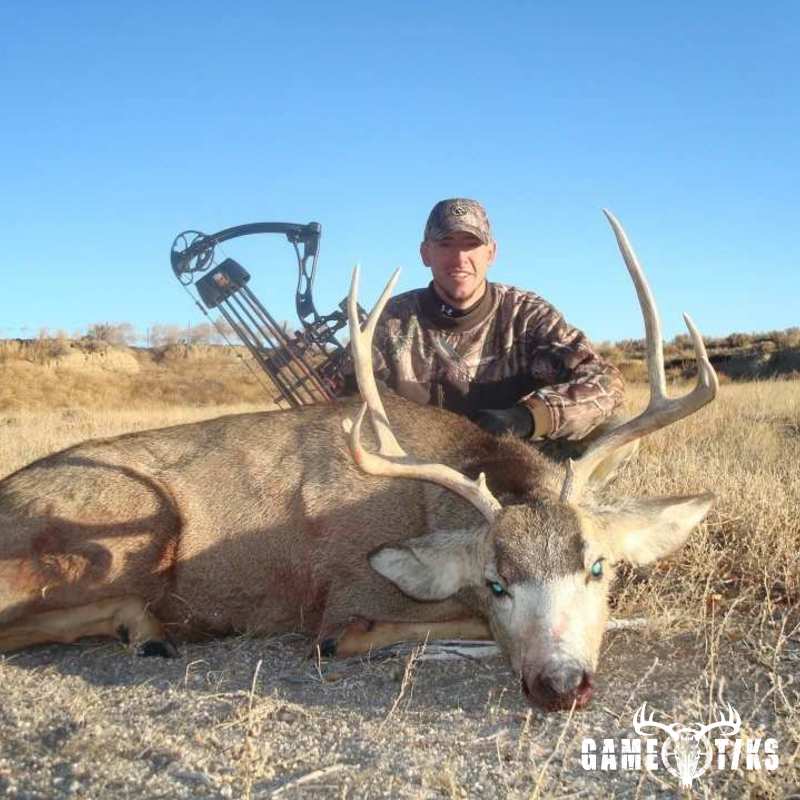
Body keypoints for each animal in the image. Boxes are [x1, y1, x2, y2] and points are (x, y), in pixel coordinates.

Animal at [0, 211, 718, 711]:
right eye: (495, 582)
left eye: (599, 567)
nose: (560, 684)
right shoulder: (347, 598)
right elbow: (425, 629)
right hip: (136, 524)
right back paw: (144, 627)